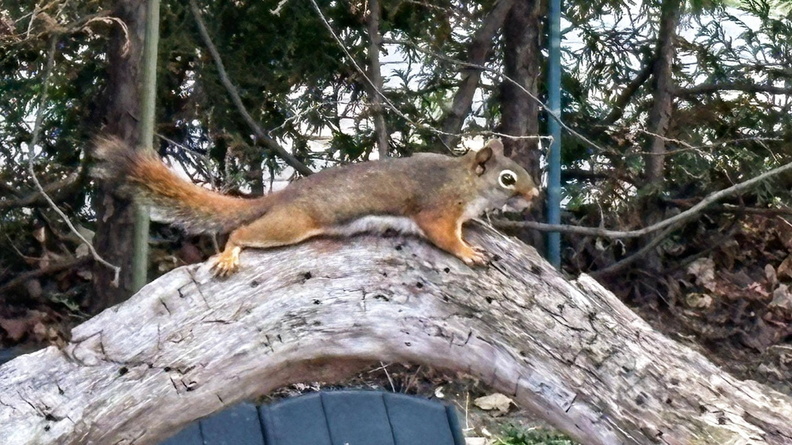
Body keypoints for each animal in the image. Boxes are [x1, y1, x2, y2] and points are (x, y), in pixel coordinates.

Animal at [93, 138, 539, 276]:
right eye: (508, 178)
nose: (535, 196)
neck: (464, 181)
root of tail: (282, 196)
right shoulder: (437, 210)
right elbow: (444, 236)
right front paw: (468, 251)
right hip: (290, 225)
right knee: (241, 232)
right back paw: (230, 254)